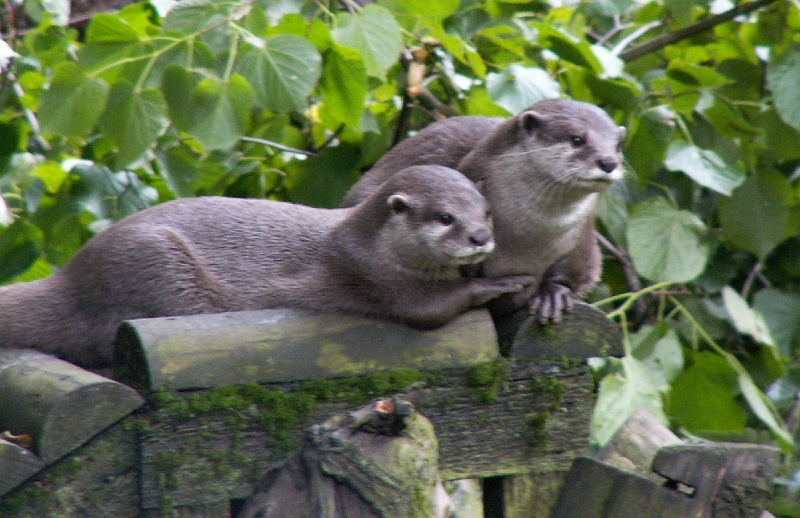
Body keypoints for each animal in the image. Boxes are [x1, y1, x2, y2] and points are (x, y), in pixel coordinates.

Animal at [1, 167, 536, 370]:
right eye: (445, 218)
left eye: (487, 212)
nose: (479, 237)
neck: (368, 244)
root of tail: (73, 277)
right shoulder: (376, 279)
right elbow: (432, 311)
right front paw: (501, 281)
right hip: (157, 263)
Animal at [342, 99, 624, 322]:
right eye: (577, 139)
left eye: (618, 145)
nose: (609, 162)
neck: (531, 237)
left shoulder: (583, 239)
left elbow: (579, 271)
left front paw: (551, 293)